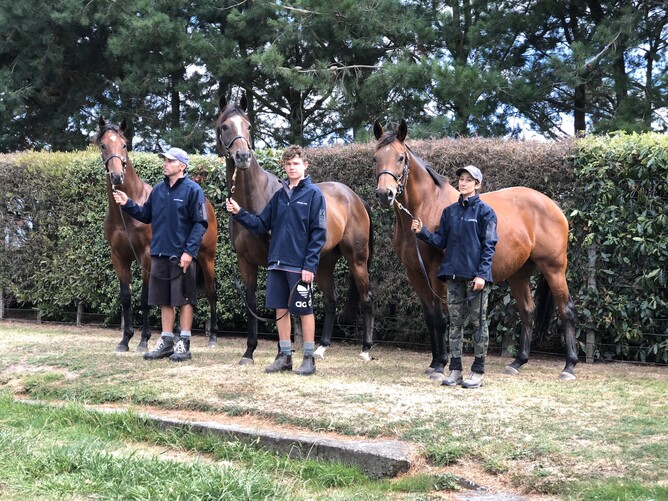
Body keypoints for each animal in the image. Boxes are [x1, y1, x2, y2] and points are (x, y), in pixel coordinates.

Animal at [372, 119, 578, 380]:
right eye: (375, 158)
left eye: (400, 157)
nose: (384, 194)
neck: (427, 207)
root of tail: (554, 205)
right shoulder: (415, 274)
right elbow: (430, 317)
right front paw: (434, 361)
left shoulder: (436, 272)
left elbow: (441, 317)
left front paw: (440, 365)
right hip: (520, 273)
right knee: (527, 311)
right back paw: (517, 362)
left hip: (554, 269)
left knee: (566, 310)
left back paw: (569, 366)